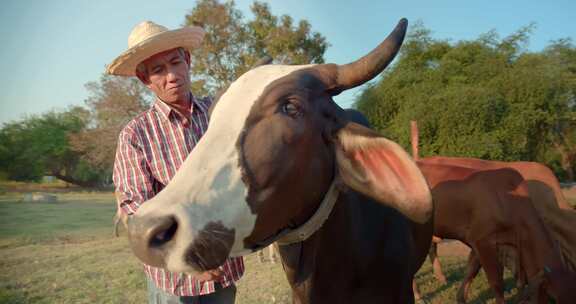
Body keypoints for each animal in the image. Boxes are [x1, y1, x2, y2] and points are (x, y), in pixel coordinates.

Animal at [418, 164, 576, 304]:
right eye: (554, 299)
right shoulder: (483, 242)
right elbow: (497, 283)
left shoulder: (481, 244)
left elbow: (472, 270)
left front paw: (461, 299)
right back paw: (419, 297)